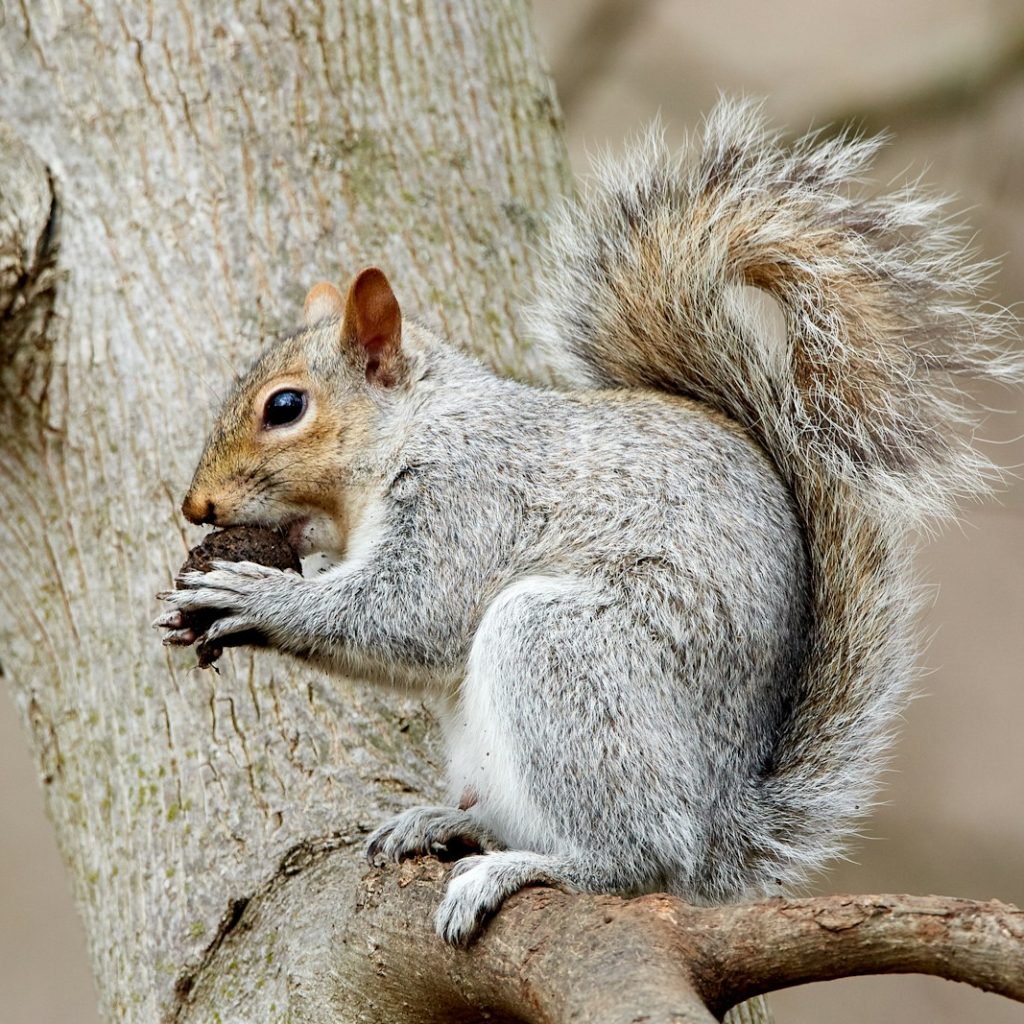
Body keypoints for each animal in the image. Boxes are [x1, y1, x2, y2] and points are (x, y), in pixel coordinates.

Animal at [155, 100, 1017, 945]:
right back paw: (449, 825)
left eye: (285, 407)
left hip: (569, 659)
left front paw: (252, 596)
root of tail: (719, 823)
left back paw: (529, 867)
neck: (416, 428)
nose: (196, 507)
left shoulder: (470, 498)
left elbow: (412, 616)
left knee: (636, 857)